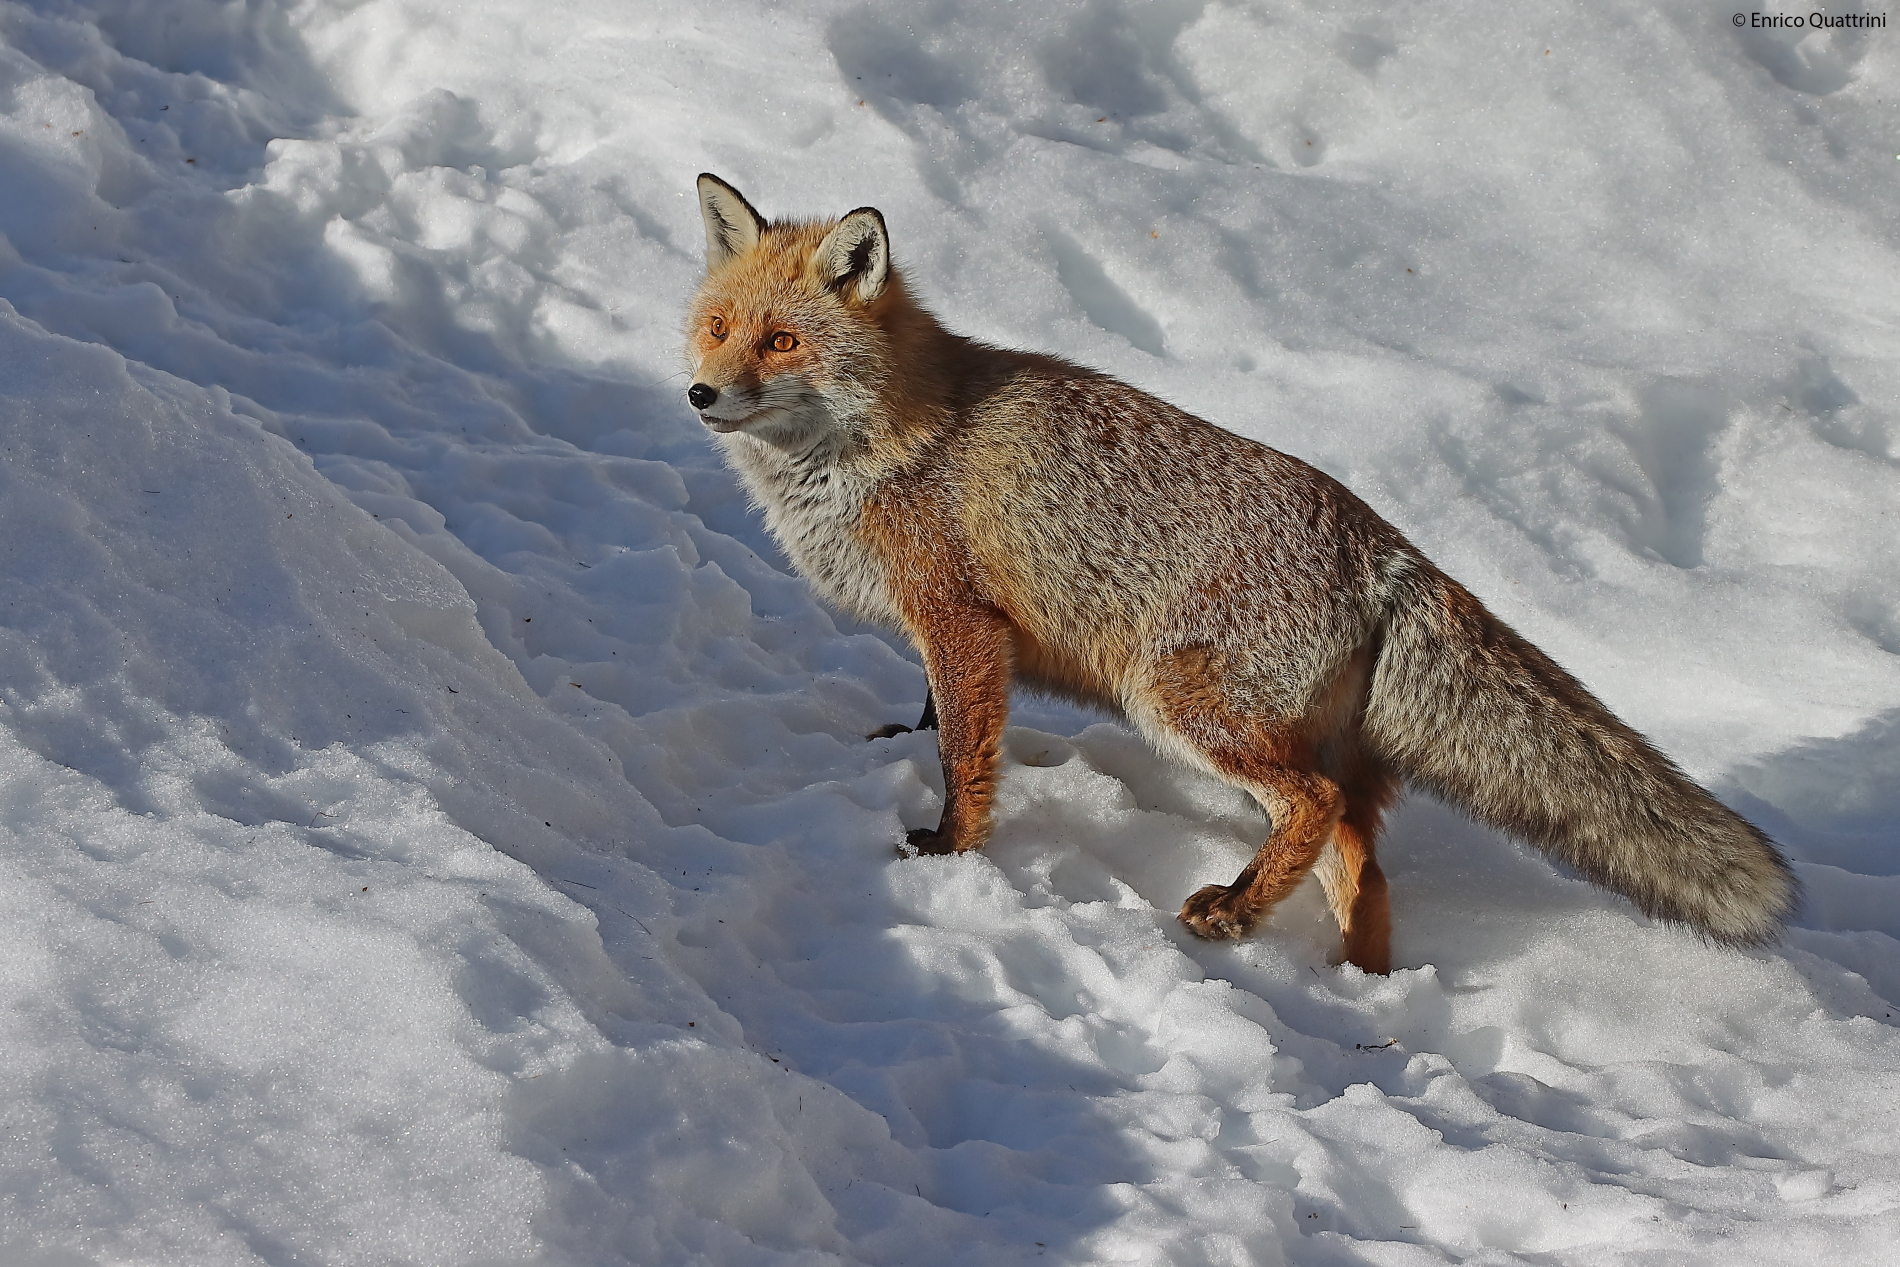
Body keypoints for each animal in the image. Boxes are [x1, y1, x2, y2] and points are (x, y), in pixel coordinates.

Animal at [682, 173, 1796, 973]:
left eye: (782, 340)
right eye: (718, 327)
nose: (699, 394)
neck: (886, 443)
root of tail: (1384, 544)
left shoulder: (960, 619)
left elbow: (965, 754)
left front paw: (949, 849)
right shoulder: (951, 633)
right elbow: (930, 719)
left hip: (1180, 703)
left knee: (1313, 805)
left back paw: (1233, 913)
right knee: (1360, 859)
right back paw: (1352, 989)